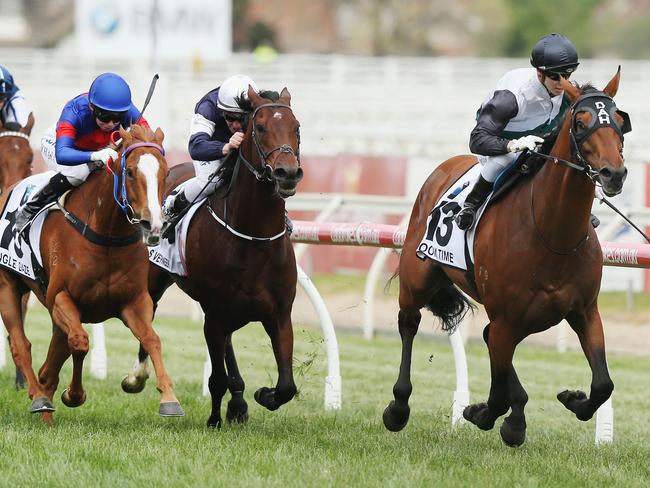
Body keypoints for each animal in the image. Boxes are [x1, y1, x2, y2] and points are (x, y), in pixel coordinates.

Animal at [382, 68, 632, 446]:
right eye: (580, 122)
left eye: (619, 120)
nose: (613, 174)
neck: (552, 234)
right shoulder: (507, 318)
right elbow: (496, 395)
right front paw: (479, 413)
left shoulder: (584, 311)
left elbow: (604, 384)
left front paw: (572, 400)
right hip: (417, 280)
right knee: (408, 324)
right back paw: (398, 407)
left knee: (487, 337)